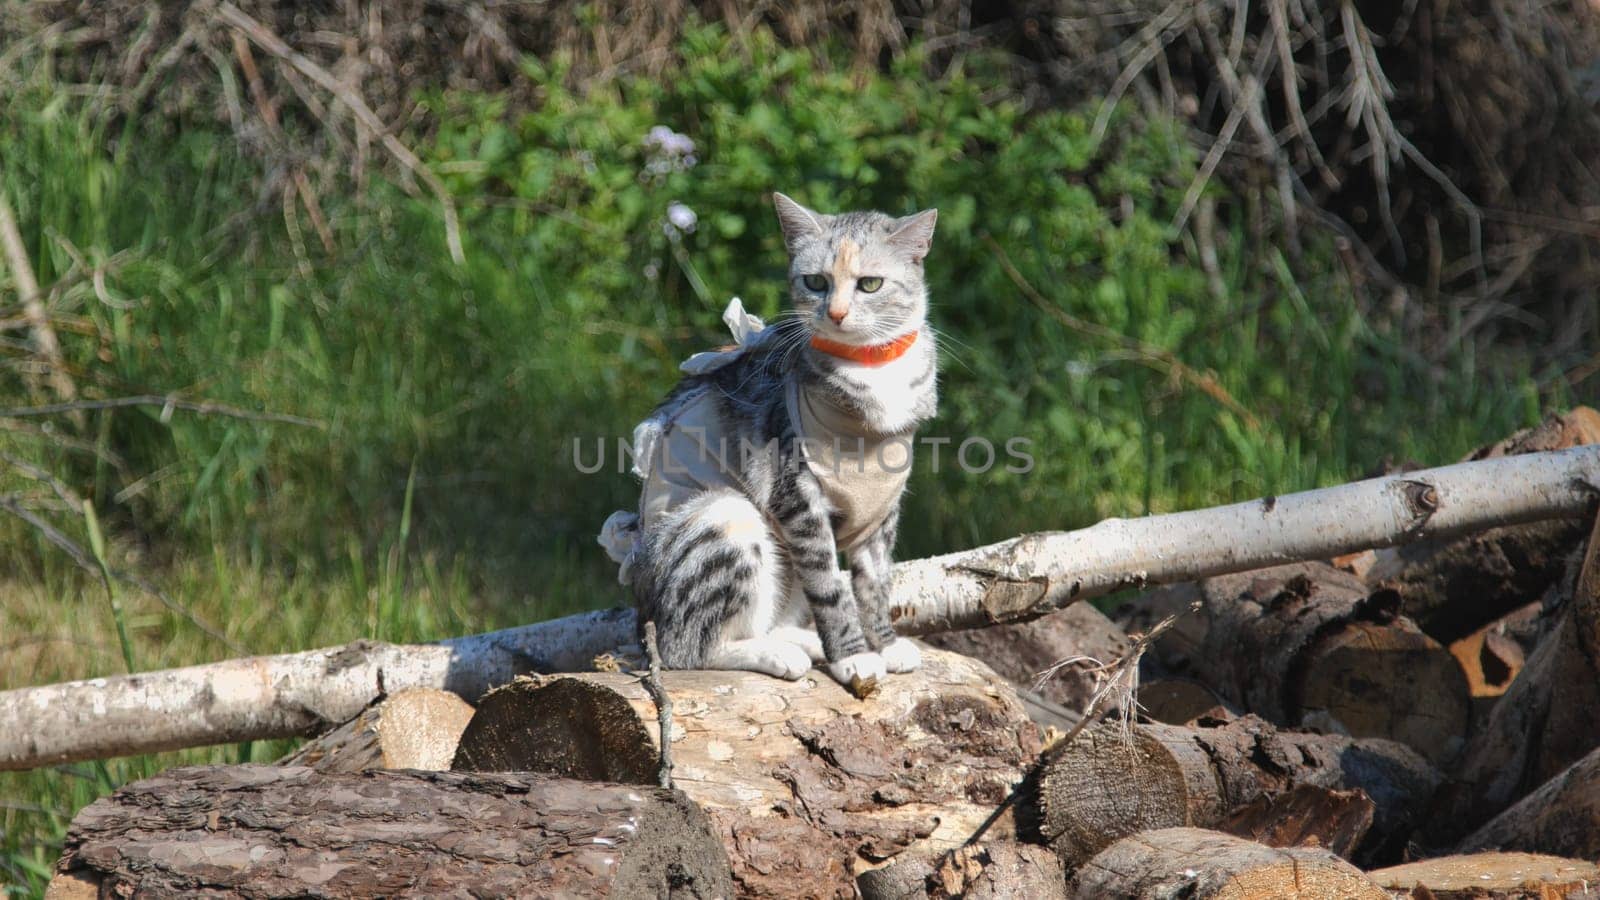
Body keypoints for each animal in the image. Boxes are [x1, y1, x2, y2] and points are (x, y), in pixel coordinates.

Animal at [608, 188, 934, 679]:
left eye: (870, 284)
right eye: (815, 282)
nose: (836, 313)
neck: (871, 374)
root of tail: (640, 614)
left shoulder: (880, 511)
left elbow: (875, 582)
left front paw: (886, 645)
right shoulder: (797, 497)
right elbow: (829, 586)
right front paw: (854, 657)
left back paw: (802, 641)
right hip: (727, 518)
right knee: (685, 648)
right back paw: (778, 655)